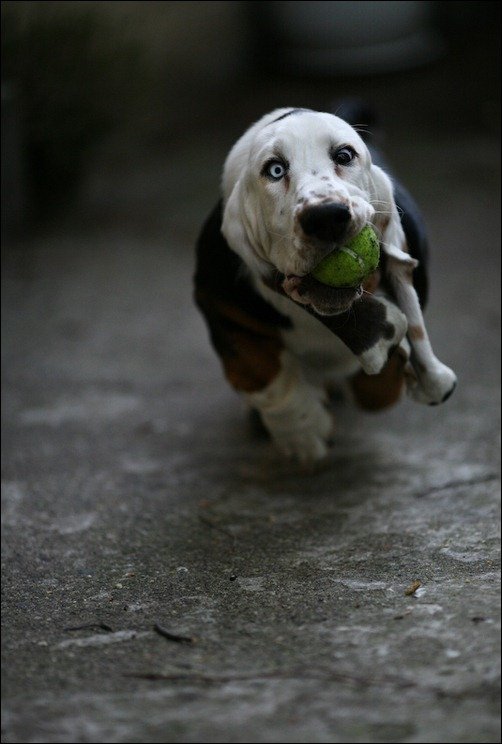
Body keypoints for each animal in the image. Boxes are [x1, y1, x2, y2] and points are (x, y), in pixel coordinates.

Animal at [194, 104, 456, 462]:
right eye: (275, 169)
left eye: (344, 155)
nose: (327, 217)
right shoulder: (220, 307)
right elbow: (265, 373)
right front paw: (303, 432)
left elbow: (377, 387)